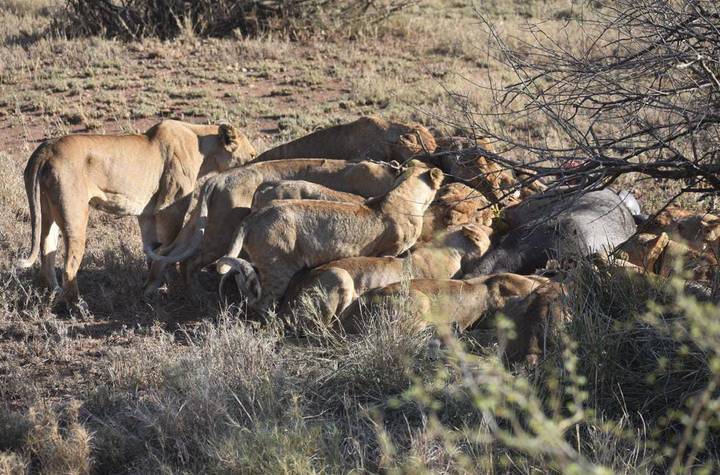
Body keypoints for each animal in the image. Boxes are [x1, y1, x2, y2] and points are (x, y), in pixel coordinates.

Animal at [17, 119, 255, 305]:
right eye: (252, 153)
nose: (256, 159)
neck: (202, 147)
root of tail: (45, 150)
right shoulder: (171, 207)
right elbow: (169, 248)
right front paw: (164, 287)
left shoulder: (147, 215)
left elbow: (153, 249)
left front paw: (151, 285)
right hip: (74, 214)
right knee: (69, 265)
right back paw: (77, 304)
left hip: (48, 212)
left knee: (46, 250)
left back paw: (53, 292)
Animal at [145, 159, 400, 293]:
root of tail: (216, 179)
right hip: (220, 234)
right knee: (189, 262)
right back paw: (197, 295)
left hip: (200, 226)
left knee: (167, 252)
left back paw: (154, 288)